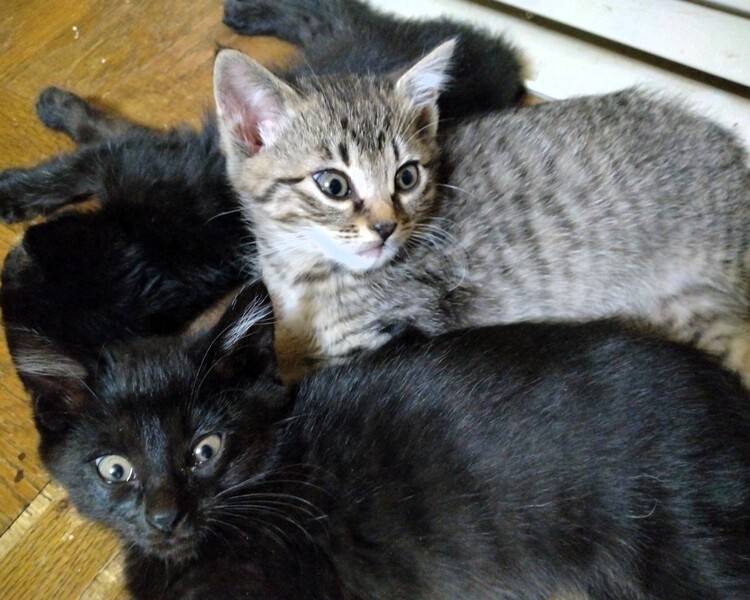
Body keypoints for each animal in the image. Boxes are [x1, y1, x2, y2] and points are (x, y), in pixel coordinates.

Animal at [214, 41, 750, 383]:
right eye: (333, 185)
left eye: (406, 177)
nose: (386, 228)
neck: (304, 272)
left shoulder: (390, 333)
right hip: (693, 311)